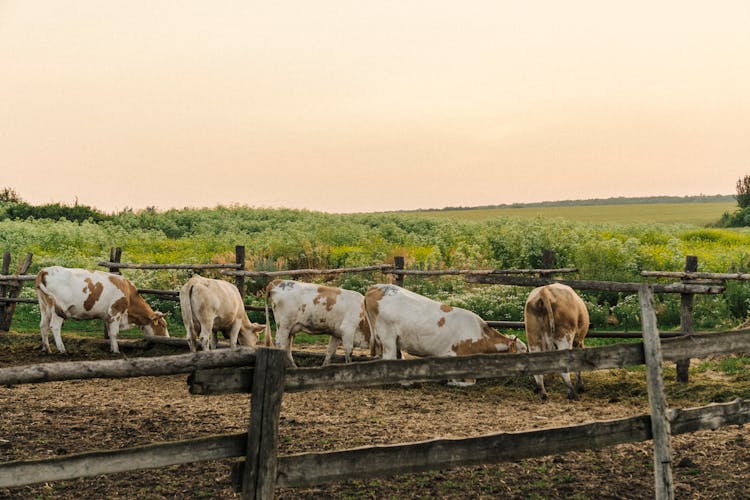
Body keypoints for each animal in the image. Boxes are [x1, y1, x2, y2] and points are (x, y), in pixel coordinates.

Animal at [36, 266, 170, 356]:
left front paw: (111, 348)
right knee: (55, 327)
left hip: (44, 307)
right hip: (58, 310)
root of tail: (45, 270)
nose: (168, 338)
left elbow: (110, 333)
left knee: (43, 326)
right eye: (162, 325)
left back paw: (46, 349)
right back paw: (62, 350)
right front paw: (116, 351)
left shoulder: (108, 317)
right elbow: (115, 333)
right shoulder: (116, 312)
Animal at [364, 284, 528, 384]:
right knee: (389, 358)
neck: (480, 335)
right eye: (523, 350)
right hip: (387, 336)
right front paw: (452, 382)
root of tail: (376, 287)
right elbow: (470, 381)